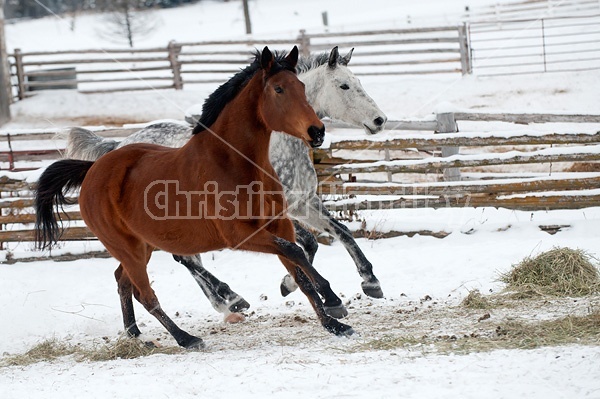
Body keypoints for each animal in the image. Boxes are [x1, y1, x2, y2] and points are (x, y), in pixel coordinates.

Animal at [35, 45, 354, 348]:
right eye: (278, 89)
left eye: (301, 86)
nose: (317, 131)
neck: (233, 163)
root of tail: (93, 168)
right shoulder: (240, 235)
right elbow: (298, 252)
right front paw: (332, 299)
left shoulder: (280, 225)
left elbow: (301, 266)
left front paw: (333, 323)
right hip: (128, 248)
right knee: (146, 293)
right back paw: (188, 336)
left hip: (142, 245)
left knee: (123, 282)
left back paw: (136, 335)